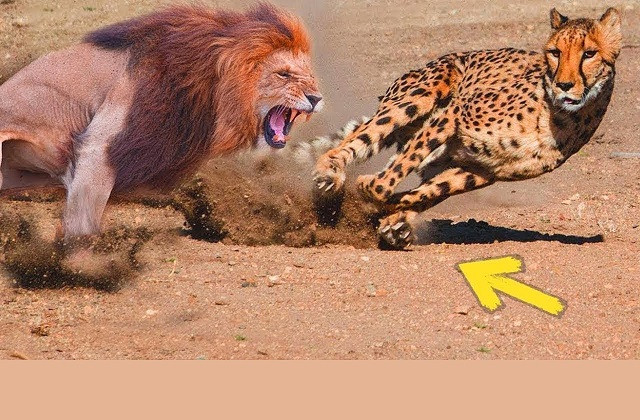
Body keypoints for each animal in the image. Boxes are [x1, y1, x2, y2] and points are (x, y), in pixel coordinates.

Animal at [313, 8, 622, 249]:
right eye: (555, 53)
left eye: (589, 54)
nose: (563, 85)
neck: (560, 115)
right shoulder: (455, 113)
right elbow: (385, 184)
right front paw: (366, 192)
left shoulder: (482, 170)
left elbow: (425, 193)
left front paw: (388, 214)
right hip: (421, 95)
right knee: (361, 139)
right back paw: (330, 173)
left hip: (442, 156)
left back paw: (395, 222)